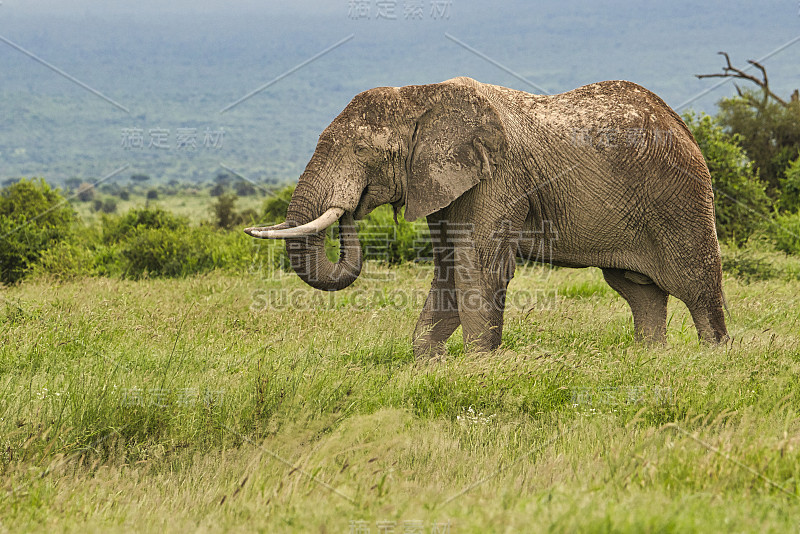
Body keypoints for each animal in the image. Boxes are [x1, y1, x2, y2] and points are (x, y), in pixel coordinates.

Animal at [247, 76, 728, 360]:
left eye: (362, 149)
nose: (350, 207)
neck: (423, 95)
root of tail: (683, 125)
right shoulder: (445, 182)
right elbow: (448, 269)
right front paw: (427, 364)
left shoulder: (498, 176)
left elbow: (476, 267)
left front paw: (480, 366)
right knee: (637, 290)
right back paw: (651, 360)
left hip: (680, 197)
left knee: (696, 285)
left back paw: (714, 361)